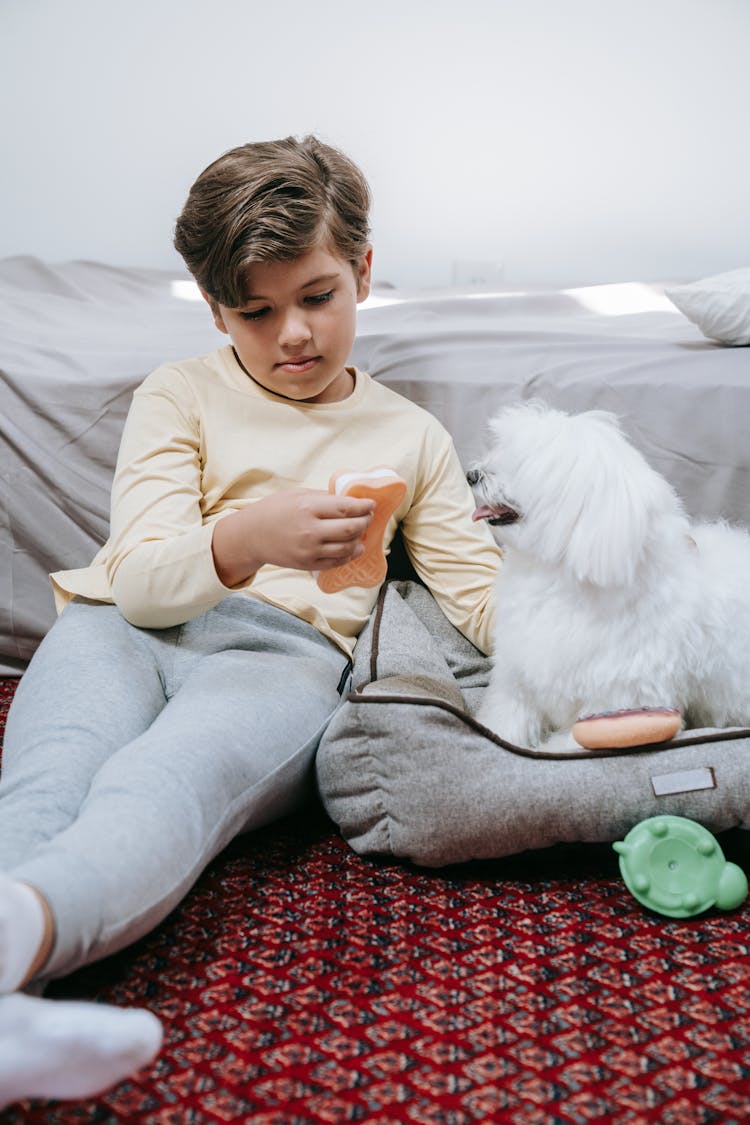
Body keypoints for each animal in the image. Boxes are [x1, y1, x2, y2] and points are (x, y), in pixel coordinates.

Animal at [470, 400, 750, 751]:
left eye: (521, 463)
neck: (554, 580)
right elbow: (505, 720)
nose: (472, 474)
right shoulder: (518, 681)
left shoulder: (618, 701)